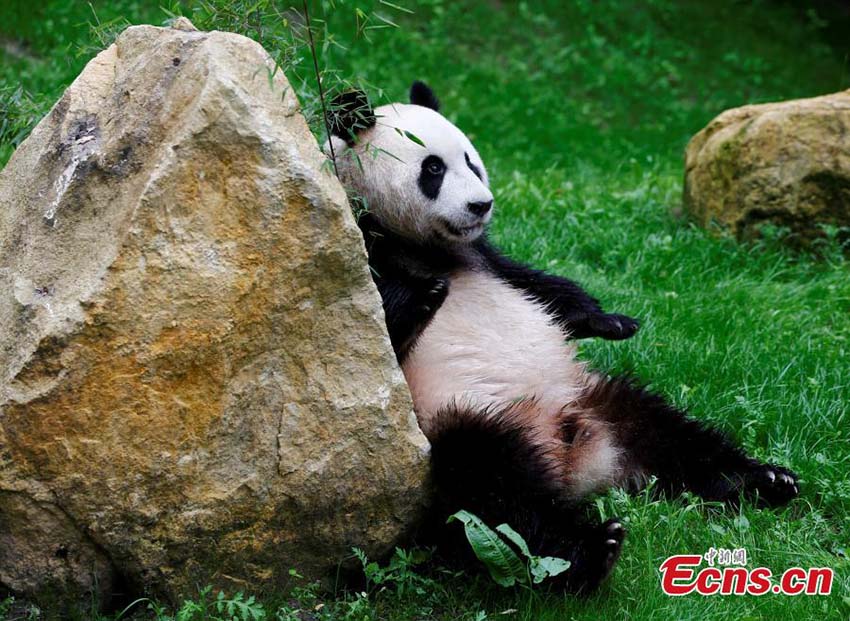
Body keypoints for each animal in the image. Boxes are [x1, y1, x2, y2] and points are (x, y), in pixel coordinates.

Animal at [326, 81, 799, 593]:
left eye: (470, 160)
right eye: (432, 169)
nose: (480, 205)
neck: (422, 246)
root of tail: (574, 458)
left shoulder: (486, 257)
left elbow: (542, 287)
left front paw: (610, 321)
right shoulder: (356, 247)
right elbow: (370, 326)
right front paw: (425, 294)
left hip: (595, 394)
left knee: (670, 432)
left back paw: (762, 480)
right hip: (460, 417)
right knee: (500, 496)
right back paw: (592, 552)